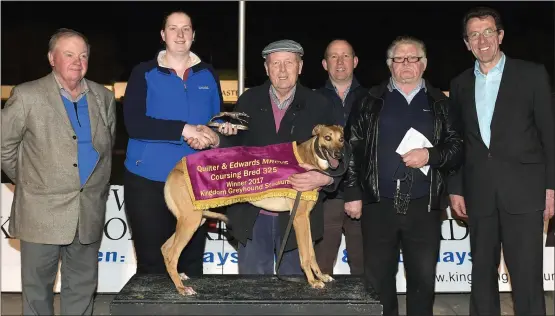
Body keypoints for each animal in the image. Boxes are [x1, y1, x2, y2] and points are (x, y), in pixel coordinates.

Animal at [160, 124, 348, 296]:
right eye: (327, 138)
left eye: (341, 139)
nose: (339, 156)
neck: (308, 158)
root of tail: (175, 169)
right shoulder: (299, 217)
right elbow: (305, 254)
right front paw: (312, 281)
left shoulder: (305, 217)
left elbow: (311, 252)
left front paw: (321, 276)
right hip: (190, 221)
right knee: (172, 254)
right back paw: (181, 288)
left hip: (195, 219)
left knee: (165, 248)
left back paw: (179, 277)